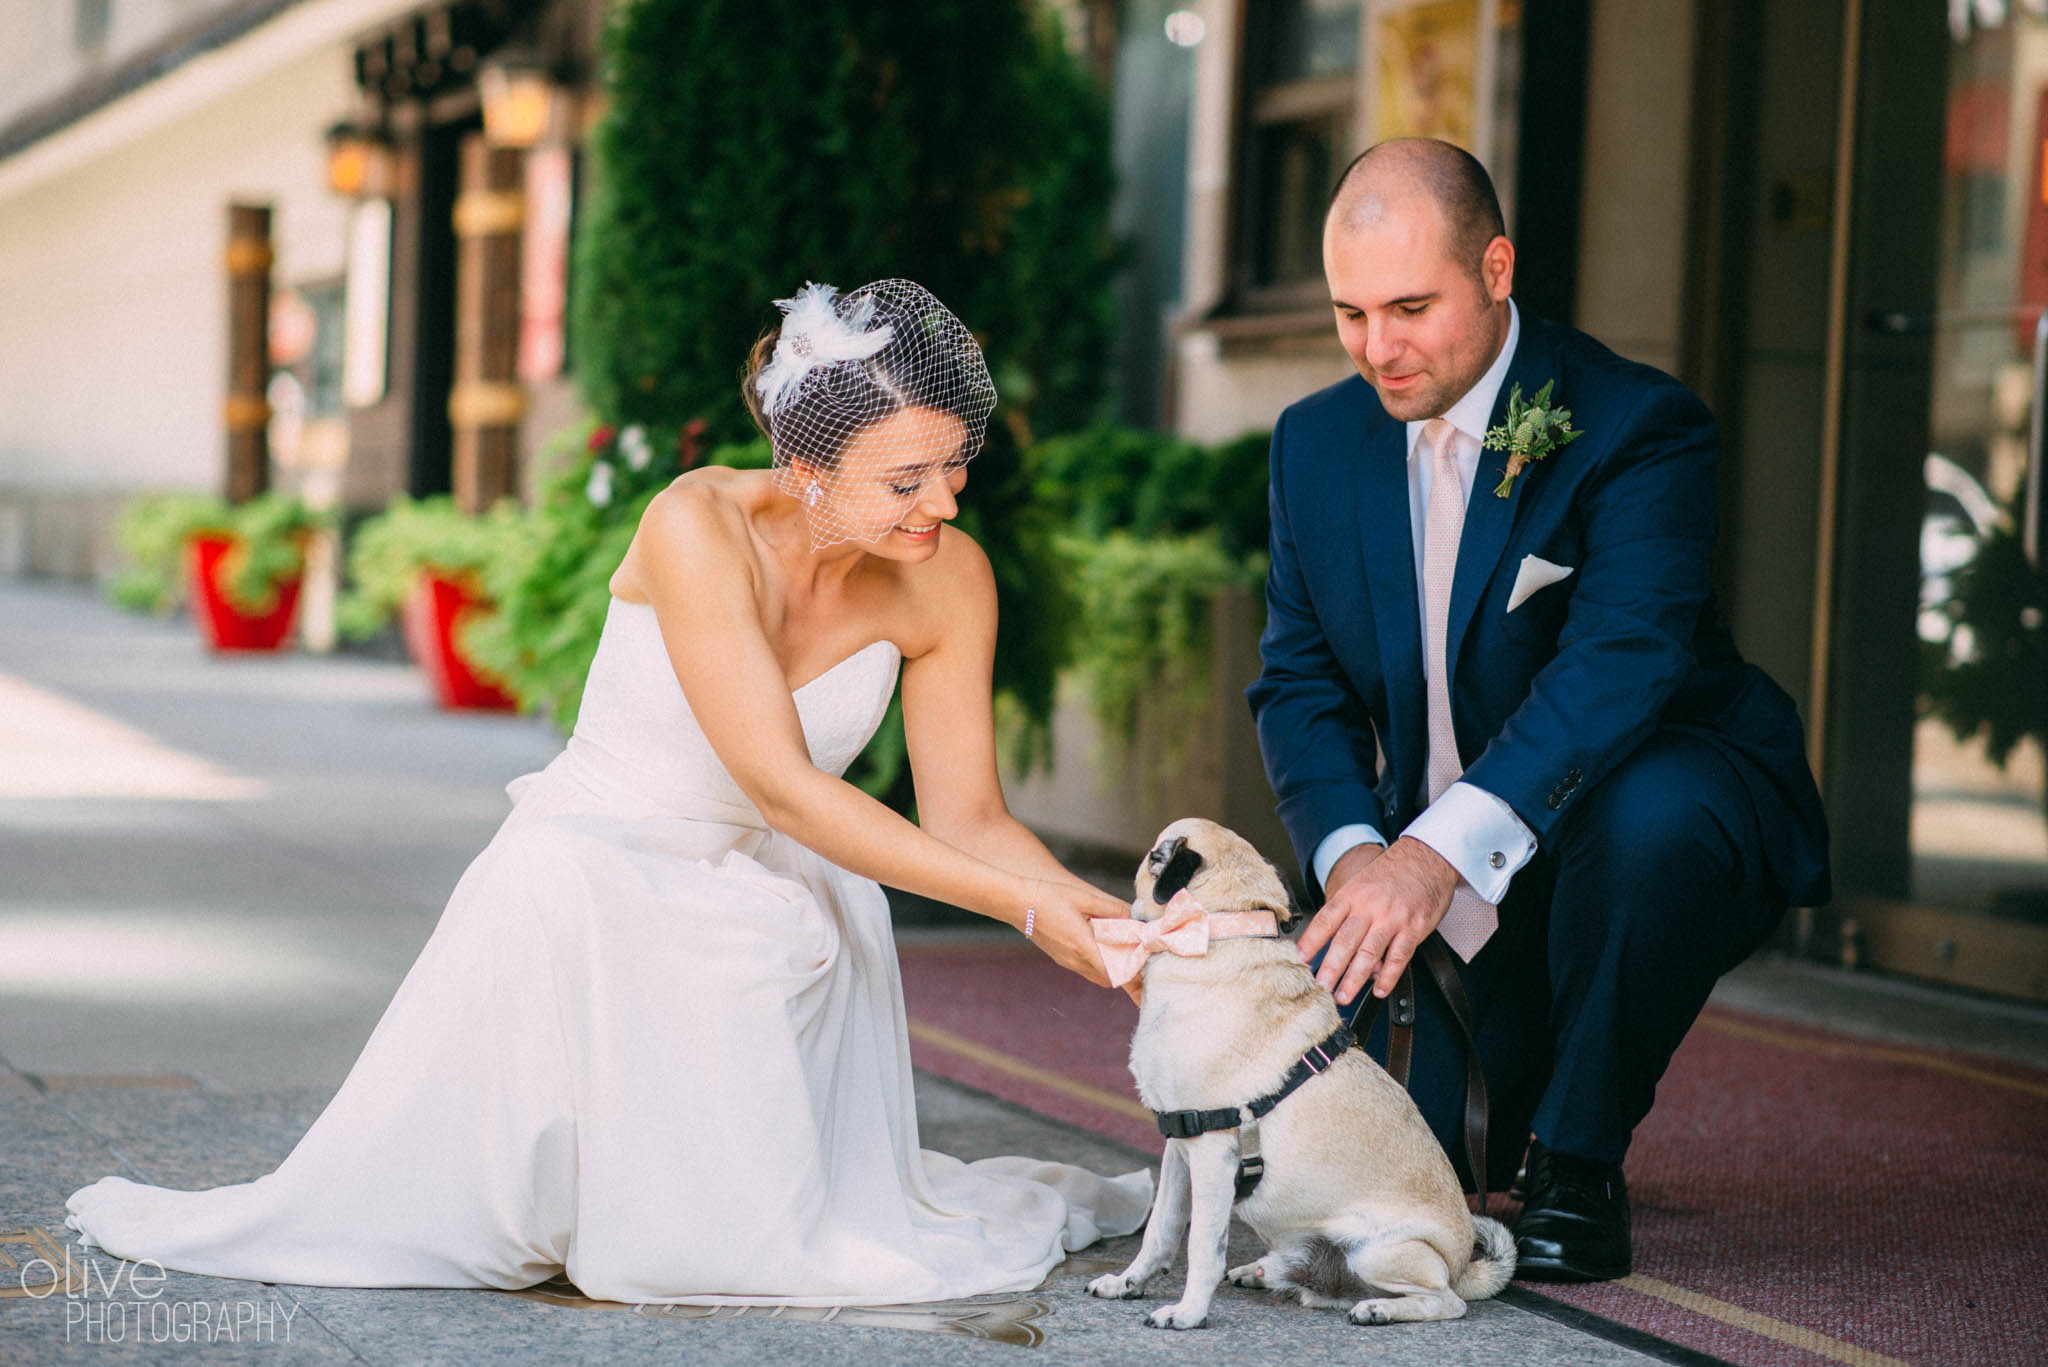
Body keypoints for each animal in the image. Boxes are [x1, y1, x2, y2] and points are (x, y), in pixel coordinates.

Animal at [1081, 819, 1515, 1328]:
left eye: (1152, 857)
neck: (1222, 930)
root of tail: (1463, 1265)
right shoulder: (1179, 1145)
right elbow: (1161, 1230)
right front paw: (1128, 1282)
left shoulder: (1211, 1153)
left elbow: (1202, 1246)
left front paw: (1188, 1313)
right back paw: (1267, 1274)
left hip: (1382, 1254)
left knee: (1447, 1302)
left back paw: (1380, 1308)